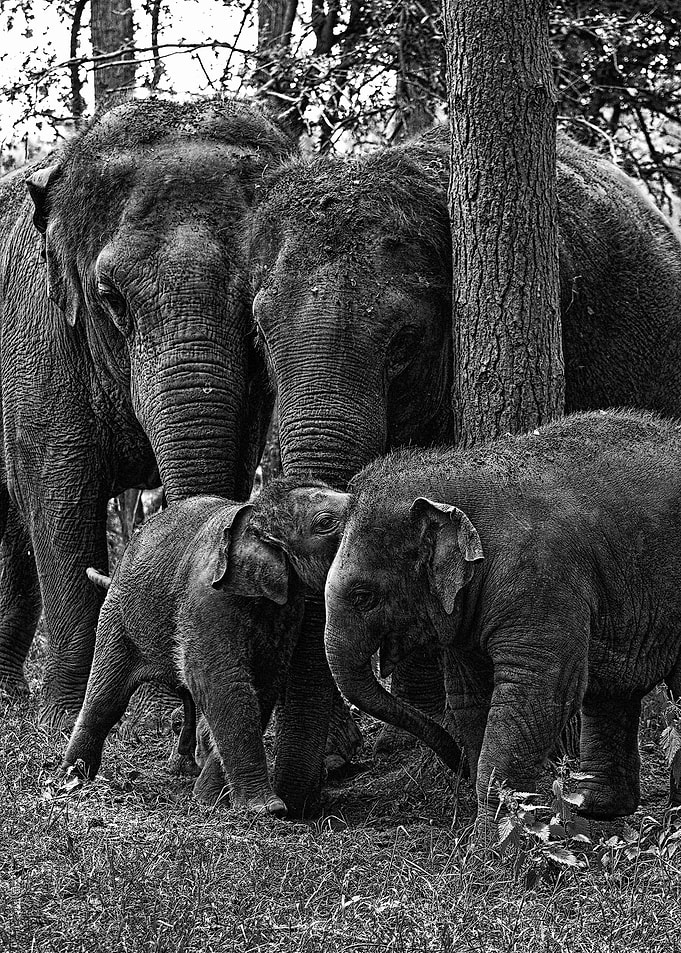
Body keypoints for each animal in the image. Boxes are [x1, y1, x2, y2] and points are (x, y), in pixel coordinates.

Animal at [62, 495, 303, 816]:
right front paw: (265, 809)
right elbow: (215, 675)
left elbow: (263, 678)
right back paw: (74, 777)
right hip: (119, 615)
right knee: (107, 696)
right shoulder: (206, 598)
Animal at [321, 409, 681, 823]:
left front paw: (496, 835)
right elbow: (471, 697)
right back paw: (596, 808)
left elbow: (538, 688)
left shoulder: (542, 580)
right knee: (612, 690)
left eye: (364, 596)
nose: (456, 765)